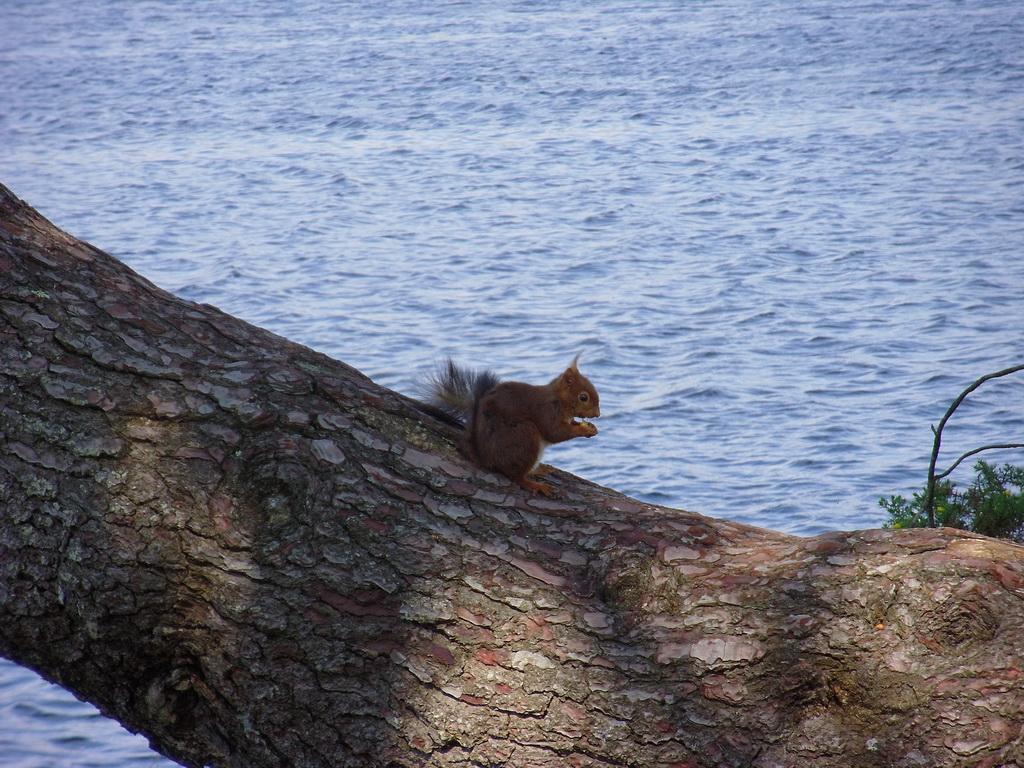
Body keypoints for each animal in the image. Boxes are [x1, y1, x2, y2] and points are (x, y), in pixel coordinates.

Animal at [423, 356, 598, 495]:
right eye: (583, 397)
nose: (597, 414)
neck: (560, 399)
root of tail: (487, 460)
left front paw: (589, 427)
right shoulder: (547, 411)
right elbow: (554, 432)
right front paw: (583, 429)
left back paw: (538, 470)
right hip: (525, 436)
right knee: (516, 476)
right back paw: (534, 484)